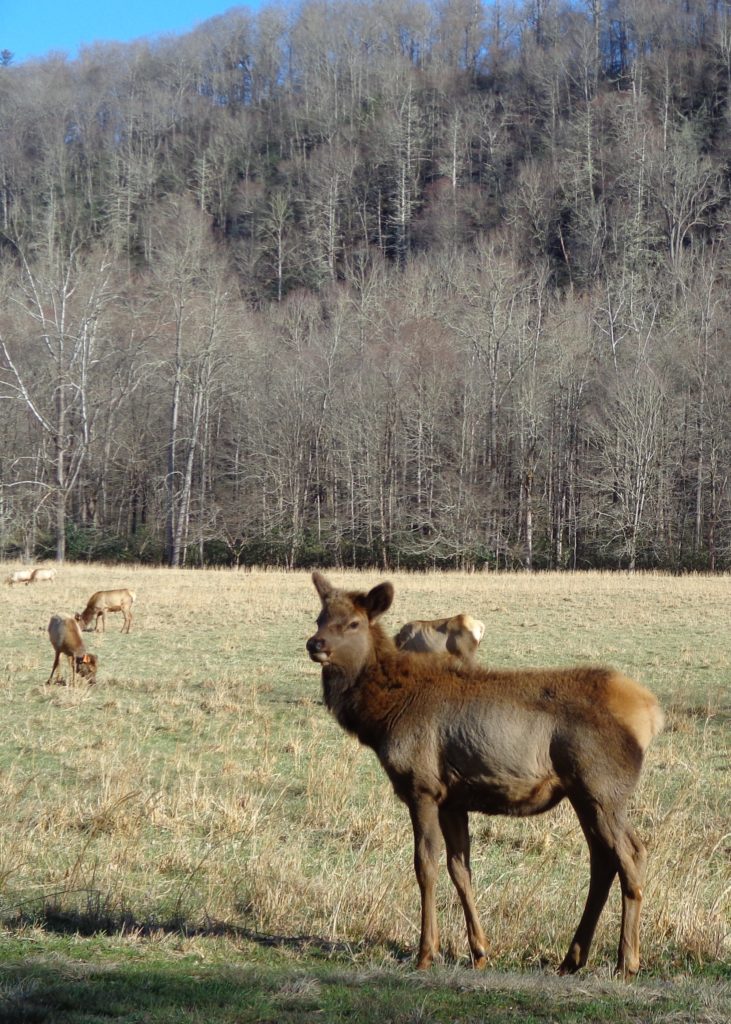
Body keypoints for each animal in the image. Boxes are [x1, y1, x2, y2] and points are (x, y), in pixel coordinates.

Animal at [305, 573, 663, 978]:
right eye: (320, 617)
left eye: (353, 623)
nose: (315, 643)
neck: (381, 717)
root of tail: (652, 714)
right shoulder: (452, 798)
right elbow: (460, 869)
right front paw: (479, 951)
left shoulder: (421, 786)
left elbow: (424, 865)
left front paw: (426, 953)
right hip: (584, 794)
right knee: (602, 860)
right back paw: (571, 959)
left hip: (603, 787)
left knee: (632, 854)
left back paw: (627, 961)